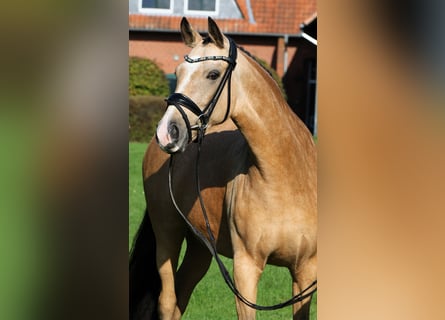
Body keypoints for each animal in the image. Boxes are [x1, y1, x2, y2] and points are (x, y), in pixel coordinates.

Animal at [130, 18, 318, 320]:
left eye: (213, 74)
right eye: (177, 73)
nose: (167, 131)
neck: (286, 177)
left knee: (181, 296)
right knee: (168, 301)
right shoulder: (246, 269)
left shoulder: (305, 272)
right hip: (167, 234)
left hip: (200, 247)